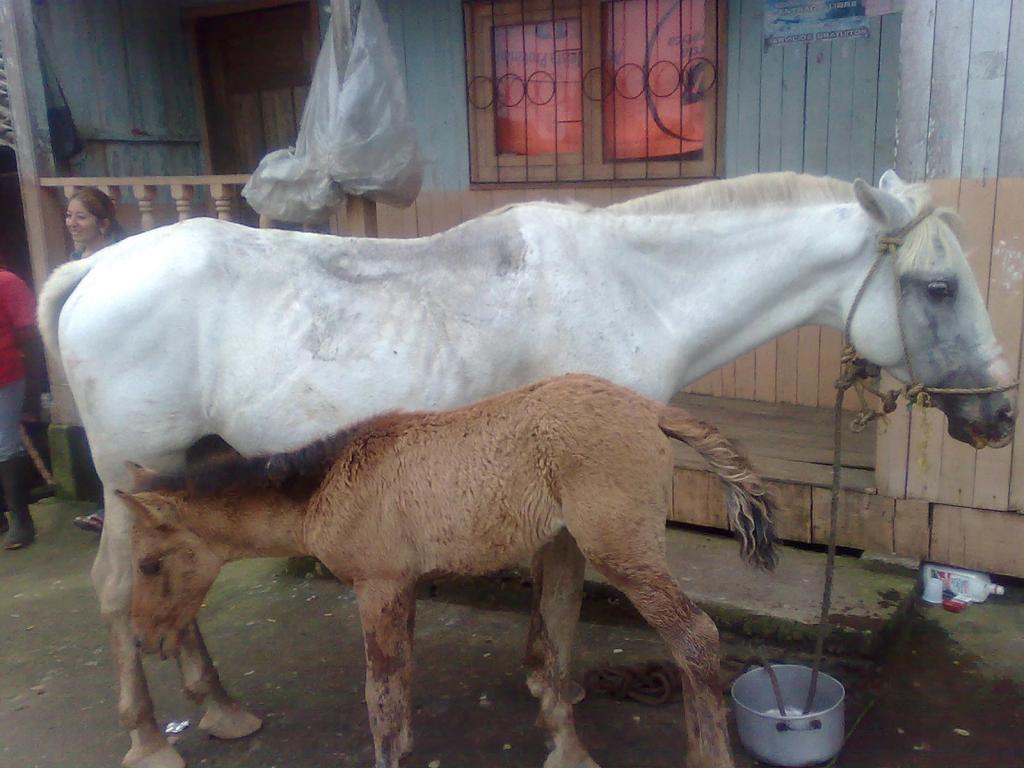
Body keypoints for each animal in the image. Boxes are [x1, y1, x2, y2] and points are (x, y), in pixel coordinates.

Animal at [36, 169, 1011, 768]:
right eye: (937, 288)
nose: (998, 415)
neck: (635, 287)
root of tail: (93, 266)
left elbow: (554, 602)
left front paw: (550, 685)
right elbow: (566, 598)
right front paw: (559, 716)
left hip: (174, 476)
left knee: (180, 585)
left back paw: (218, 705)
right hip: (132, 478)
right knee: (119, 591)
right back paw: (151, 736)